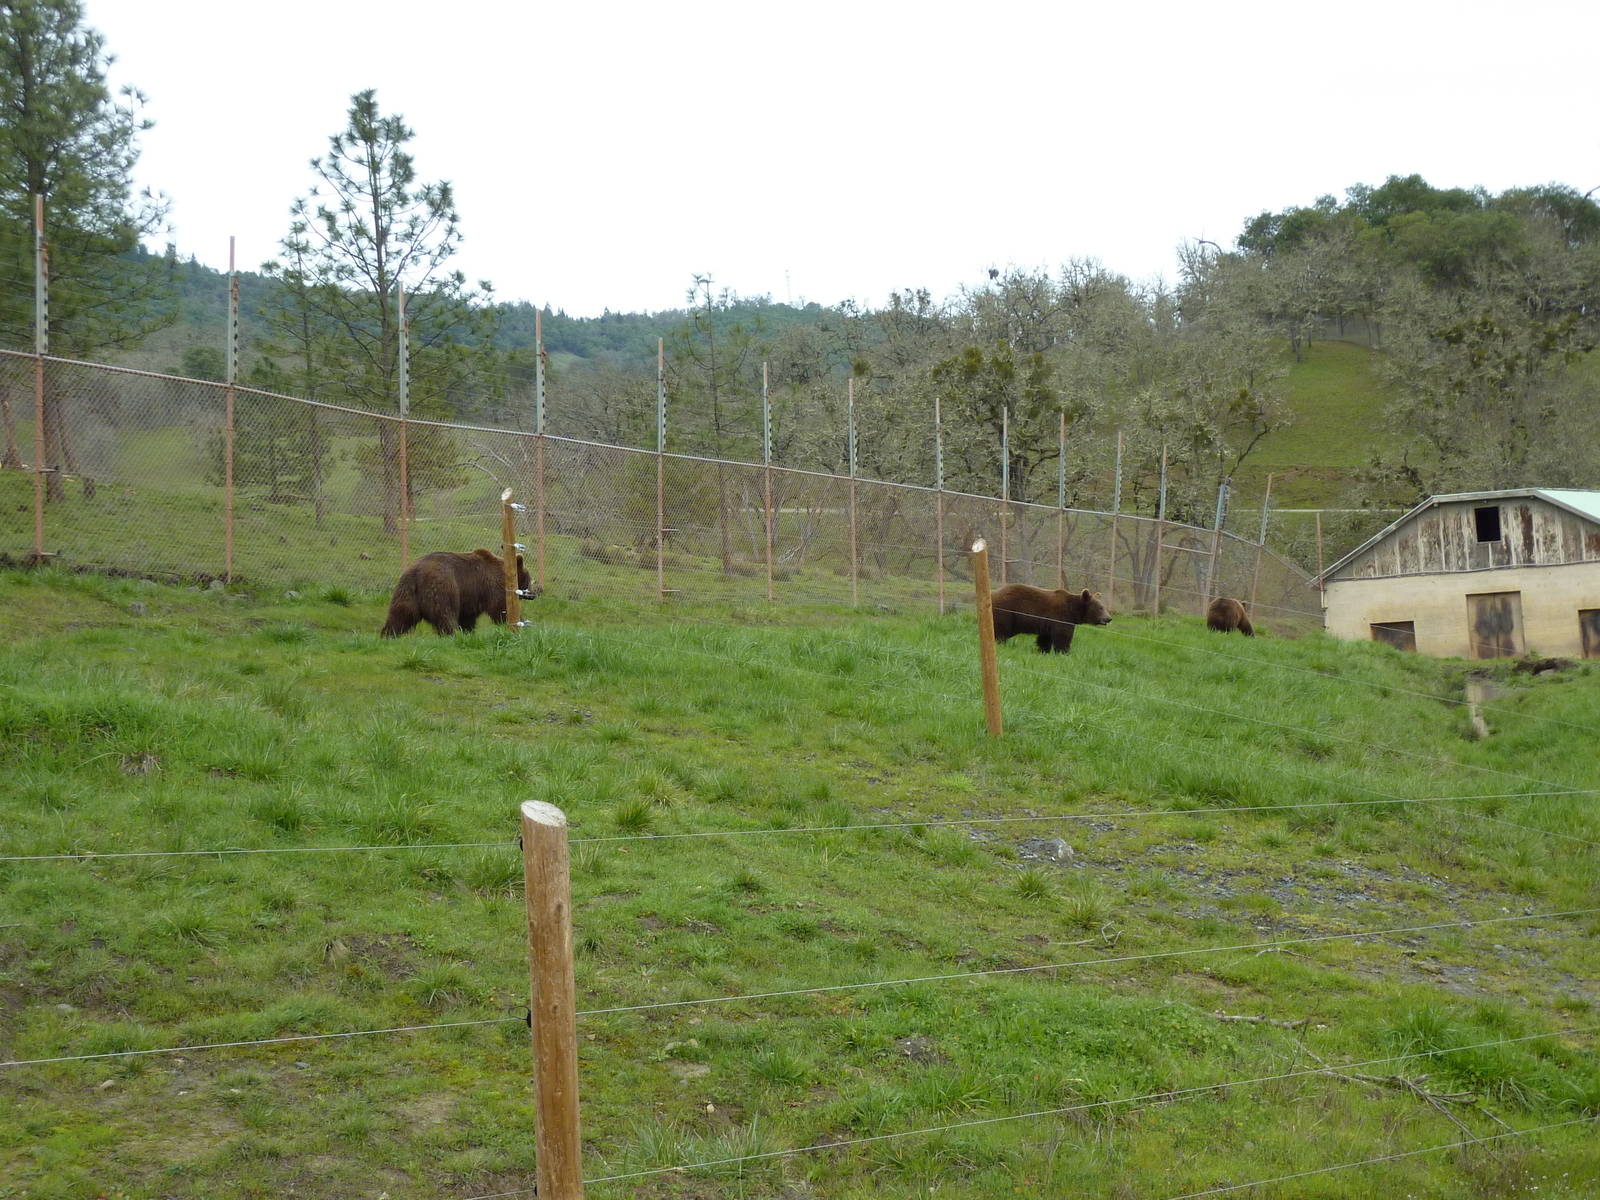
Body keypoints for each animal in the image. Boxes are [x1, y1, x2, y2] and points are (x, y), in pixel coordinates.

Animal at [380, 549, 534, 637]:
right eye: (529, 579)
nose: (533, 594)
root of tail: (417, 572)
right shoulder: (494, 587)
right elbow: (501, 608)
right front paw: (521, 624)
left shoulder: (470, 596)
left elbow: (467, 618)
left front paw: (468, 632)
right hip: (444, 587)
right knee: (445, 613)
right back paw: (452, 634)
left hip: (407, 590)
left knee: (401, 614)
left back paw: (388, 634)